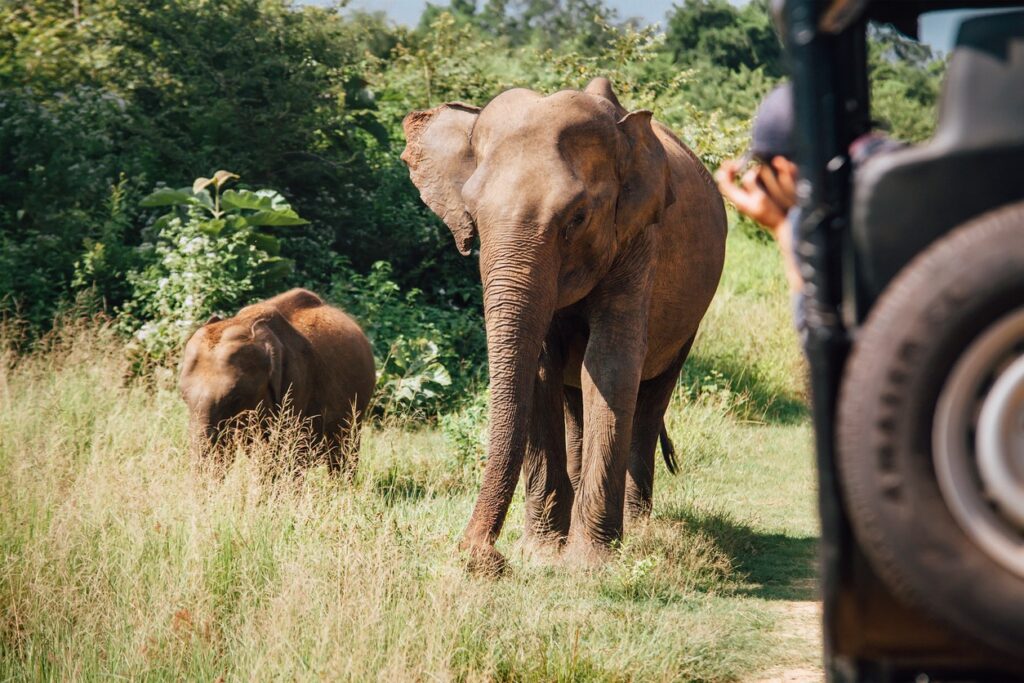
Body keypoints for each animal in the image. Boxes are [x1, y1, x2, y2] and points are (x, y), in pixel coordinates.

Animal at [399, 76, 729, 573]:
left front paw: (589, 564)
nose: (481, 556)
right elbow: (540, 370)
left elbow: (610, 366)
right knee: (576, 398)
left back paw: (639, 528)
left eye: (577, 218)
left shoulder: (639, 240)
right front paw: (541, 554)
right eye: (472, 217)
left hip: (691, 316)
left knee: (651, 396)